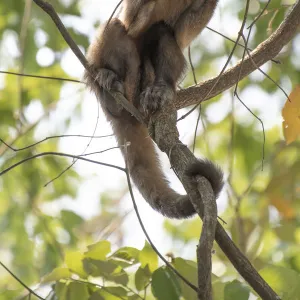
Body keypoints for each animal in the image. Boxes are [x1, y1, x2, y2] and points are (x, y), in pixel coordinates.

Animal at [84, 1, 223, 219]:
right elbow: (130, 18)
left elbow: (184, 30)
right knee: (116, 26)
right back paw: (109, 89)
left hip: (144, 79)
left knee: (162, 33)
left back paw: (160, 88)